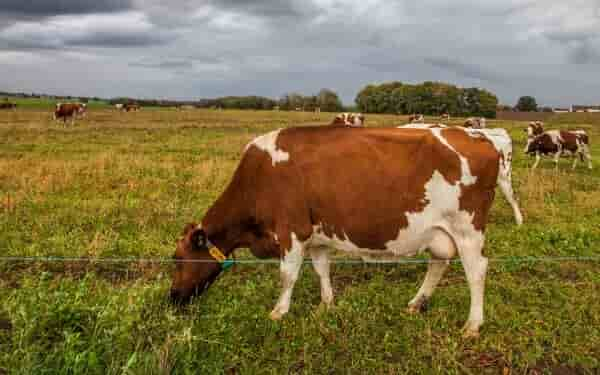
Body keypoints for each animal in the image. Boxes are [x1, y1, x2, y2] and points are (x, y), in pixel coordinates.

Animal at [170, 125, 524, 338]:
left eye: (177, 259)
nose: (172, 298)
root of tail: (480, 137)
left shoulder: (292, 230)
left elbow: (288, 276)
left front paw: (278, 312)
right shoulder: (316, 235)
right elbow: (321, 269)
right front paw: (326, 304)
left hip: (467, 228)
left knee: (476, 270)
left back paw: (472, 325)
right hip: (439, 231)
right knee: (439, 262)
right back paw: (416, 303)